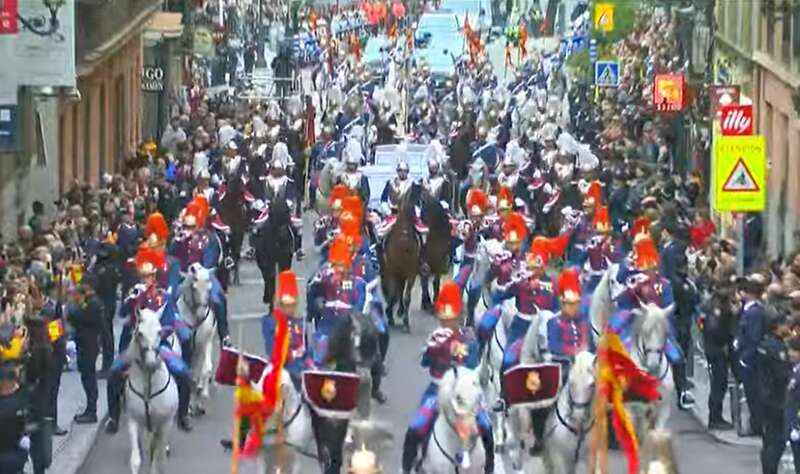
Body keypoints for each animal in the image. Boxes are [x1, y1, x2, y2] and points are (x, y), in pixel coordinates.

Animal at [125, 307, 179, 474]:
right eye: (139, 333)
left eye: (159, 332)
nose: (151, 365)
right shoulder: (134, 420)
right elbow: (135, 460)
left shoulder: (163, 423)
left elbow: (156, 454)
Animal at [177, 263, 217, 416]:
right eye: (194, 287)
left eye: (209, 288)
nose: (201, 314)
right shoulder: (186, 348)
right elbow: (190, 376)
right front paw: (190, 406)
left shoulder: (204, 344)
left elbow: (206, 370)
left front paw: (202, 395)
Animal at [381, 198, 419, 332]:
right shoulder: (393, 272)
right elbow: (393, 294)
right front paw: (389, 314)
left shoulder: (411, 274)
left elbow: (406, 297)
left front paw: (405, 323)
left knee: (400, 290)